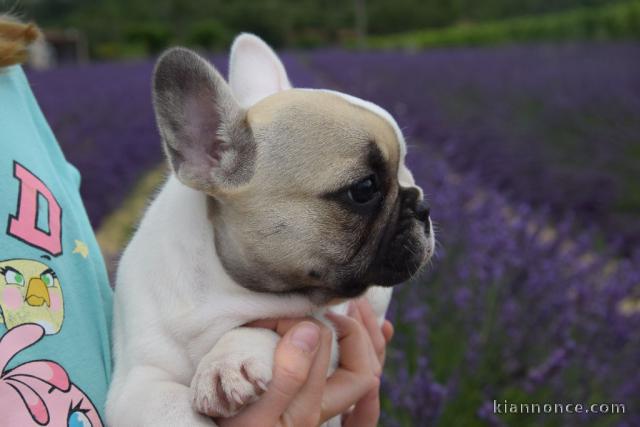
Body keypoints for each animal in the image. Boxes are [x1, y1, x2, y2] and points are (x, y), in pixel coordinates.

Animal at [106, 34, 436, 427]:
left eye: (406, 171)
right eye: (364, 188)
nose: (422, 205)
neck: (221, 289)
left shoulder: (324, 331)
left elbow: (263, 325)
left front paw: (227, 362)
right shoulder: (136, 386)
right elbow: (171, 407)